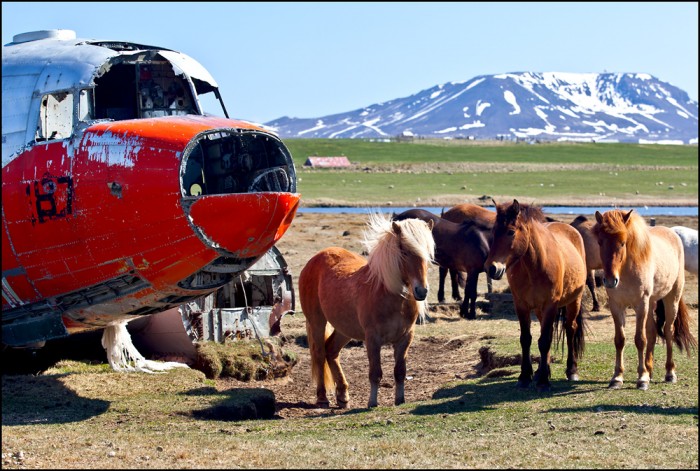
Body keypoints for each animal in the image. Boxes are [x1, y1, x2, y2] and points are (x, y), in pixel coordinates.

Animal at [298, 212, 434, 408]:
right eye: (404, 251)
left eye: (428, 252)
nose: (421, 291)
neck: (390, 295)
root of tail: (314, 259)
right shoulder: (373, 339)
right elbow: (375, 372)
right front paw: (372, 402)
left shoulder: (405, 338)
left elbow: (400, 371)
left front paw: (400, 400)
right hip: (317, 322)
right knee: (319, 353)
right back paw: (322, 398)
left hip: (345, 328)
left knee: (331, 351)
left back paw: (342, 395)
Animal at [484, 198, 588, 390]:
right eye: (493, 232)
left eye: (510, 232)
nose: (491, 268)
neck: (534, 266)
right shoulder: (521, 305)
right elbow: (527, 339)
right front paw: (526, 376)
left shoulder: (550, 305)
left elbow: (545, 340)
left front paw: (543, 382)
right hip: (540, 310)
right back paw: (542, 370)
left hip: (573, 302)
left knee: (570, 329)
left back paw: (571, 370)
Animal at [592, 210, 696, 390]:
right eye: (600, 242)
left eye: (623, 243)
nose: (610, 281)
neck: (626, 270)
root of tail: (672, 233)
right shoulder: (616, 306)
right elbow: (620, 340)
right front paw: (617, 377)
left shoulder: (641, 305)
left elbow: (640, 340)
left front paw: (642, 378)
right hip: (651, 303)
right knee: (652, 332)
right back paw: (650, 370)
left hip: (671, 299)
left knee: (668, 331)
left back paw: (669, 373)